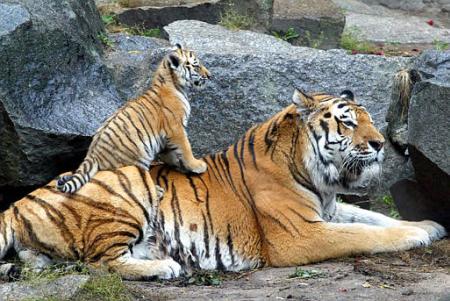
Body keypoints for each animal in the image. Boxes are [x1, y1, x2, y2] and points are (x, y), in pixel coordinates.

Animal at [0, 89, 442, 278]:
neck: (318, 178)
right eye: (348, 122)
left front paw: (429, 224)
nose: (381, 143)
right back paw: (166, 267)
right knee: (101, 263)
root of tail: (19, 203)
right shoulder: (299, 234)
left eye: (368, 119)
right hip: (128, 188)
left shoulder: (331, 208)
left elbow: (373, 219)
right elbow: (362, 235)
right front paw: (417, 235)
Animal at [56, 43, 211, 193]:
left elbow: (171, 153)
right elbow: (186, 148)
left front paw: (180, 165)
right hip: (136, 160)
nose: (210, 76)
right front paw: (197, 165)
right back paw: (156, 191)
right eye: (196, 66)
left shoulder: (166, 137)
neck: (173, 83)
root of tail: (92, 154)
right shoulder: (176, 128)